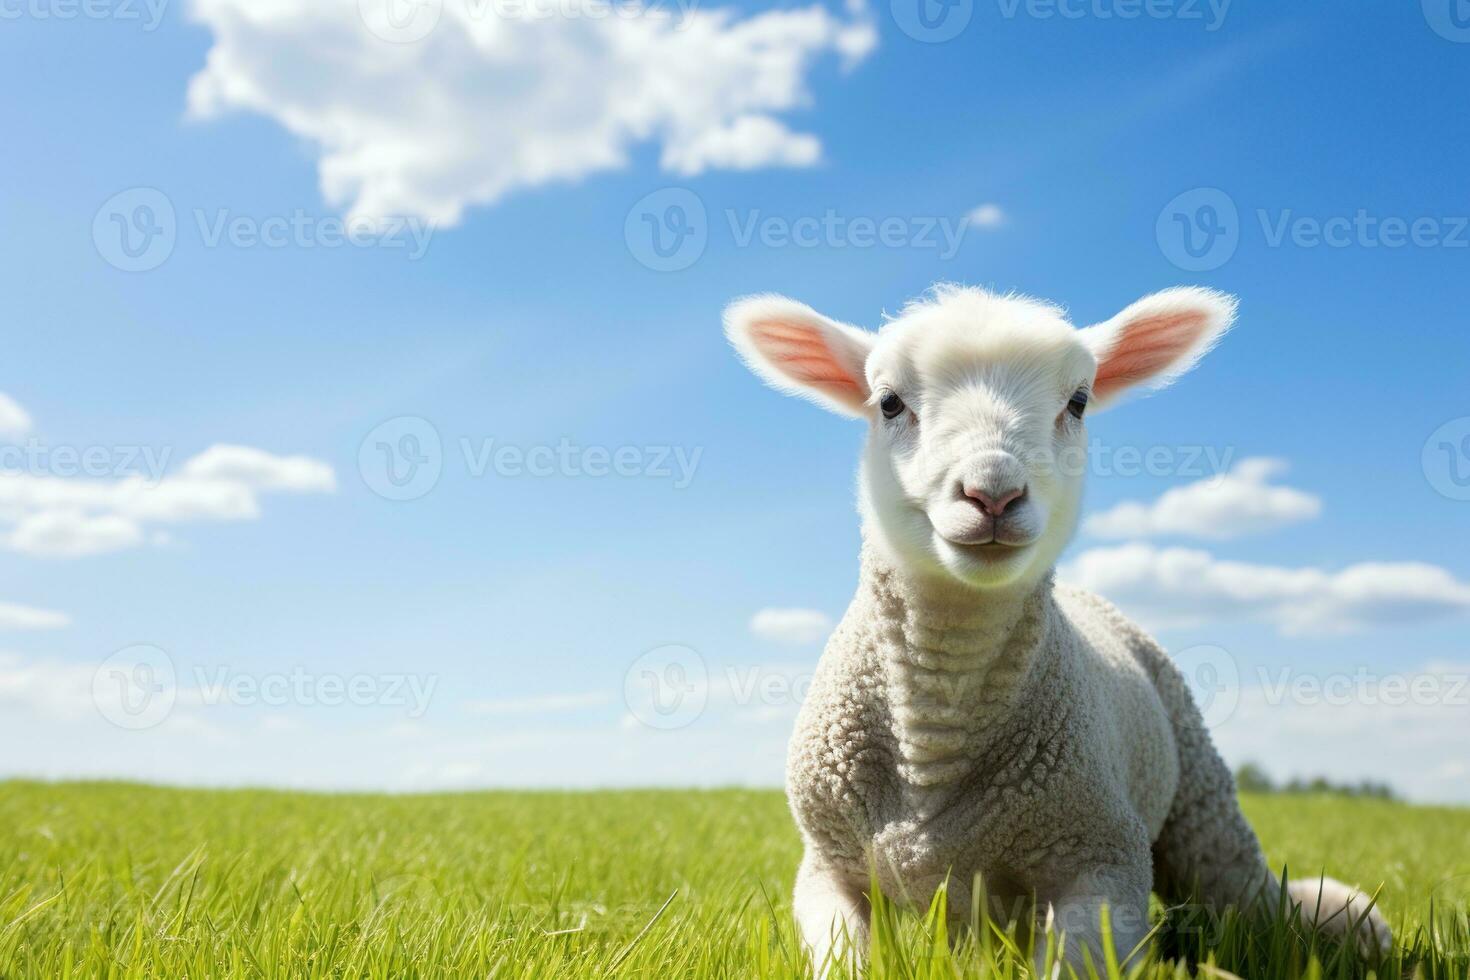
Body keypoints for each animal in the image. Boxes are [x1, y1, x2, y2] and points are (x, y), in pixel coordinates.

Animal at [723, 283, 1387, 975]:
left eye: (1078, 402)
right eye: (889, 402)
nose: (992, 494)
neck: (937, 734)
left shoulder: (1103, 865)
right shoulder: (826, 866)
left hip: (1198, 795)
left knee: (1243, 892)